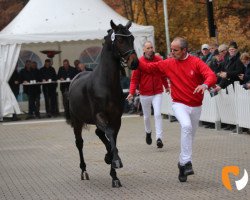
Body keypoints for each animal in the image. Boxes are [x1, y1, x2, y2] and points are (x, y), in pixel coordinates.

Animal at [64, 20, 139, 188]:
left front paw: (114, 173)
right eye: (120, 40)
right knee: (79, 143)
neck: (106, 83)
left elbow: (112, 139)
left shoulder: (116, 119)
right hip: (77, 121)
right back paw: (84, 171)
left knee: (99, 133)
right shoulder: (100, 116)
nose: (135, 62)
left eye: (132, 38)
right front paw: (115, 161)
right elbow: (110, 135)